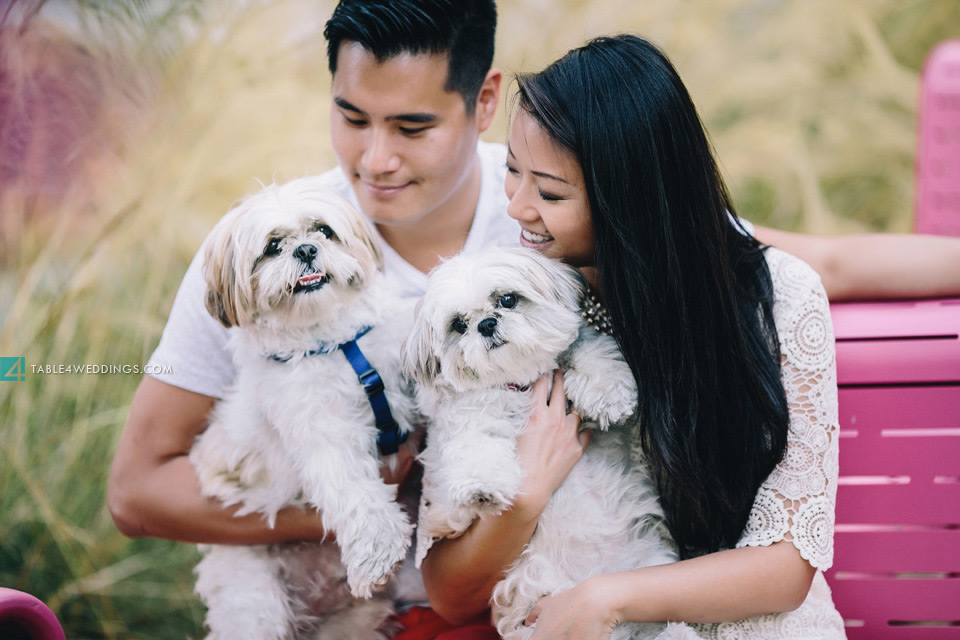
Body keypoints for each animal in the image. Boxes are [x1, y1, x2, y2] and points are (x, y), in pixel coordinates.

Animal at [189, 176, 418, 640]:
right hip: (251, 596)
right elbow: (351, 489)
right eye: (273, 247)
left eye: (323, 230)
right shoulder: (322, 432)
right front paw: (377, 549)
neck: (336, 344)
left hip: (352, 625)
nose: (307, 250)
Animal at [402, 246, 692, 640]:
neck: (521, 384)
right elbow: (475, 448)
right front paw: (482, 487)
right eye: (458, 325)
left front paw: (606, 392)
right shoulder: (469, 422)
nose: (486, 324)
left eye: (507, 300)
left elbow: (590, 350)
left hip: (647, 569)